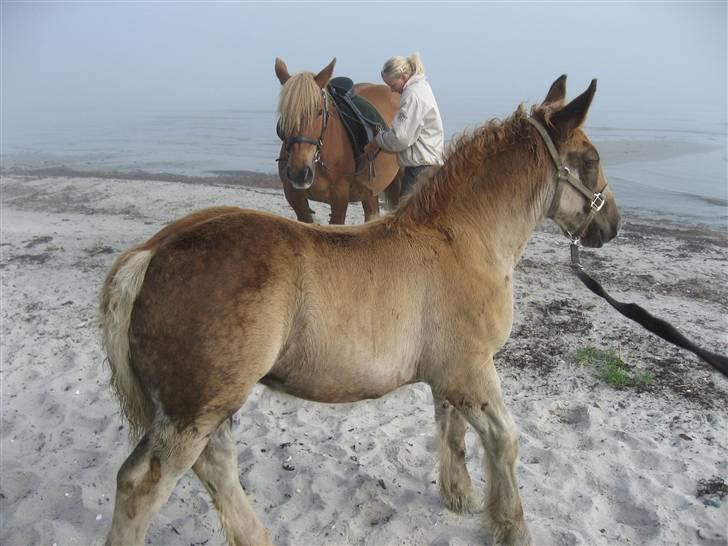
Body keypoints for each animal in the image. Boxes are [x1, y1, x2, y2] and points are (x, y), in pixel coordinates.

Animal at [274, 57, 400, 223]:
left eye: (319, 112)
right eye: (285, 113)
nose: (299, 173)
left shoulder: (340, 196)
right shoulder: (295, 198)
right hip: (369, 189)